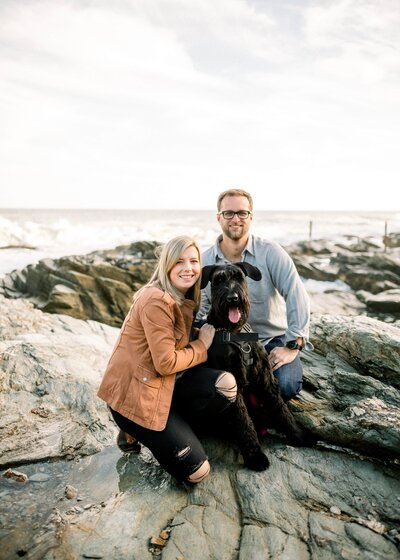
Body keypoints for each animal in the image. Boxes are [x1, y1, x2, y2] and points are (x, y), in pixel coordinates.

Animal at [200, 264, 316, 472]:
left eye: (239, 277)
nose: (233, 298)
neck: (235, 332)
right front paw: (255, 456)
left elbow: (282, 409)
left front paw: (299, 436)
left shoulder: (266, 378)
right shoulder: (234, 385)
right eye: (218, 280)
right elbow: (243, 423)